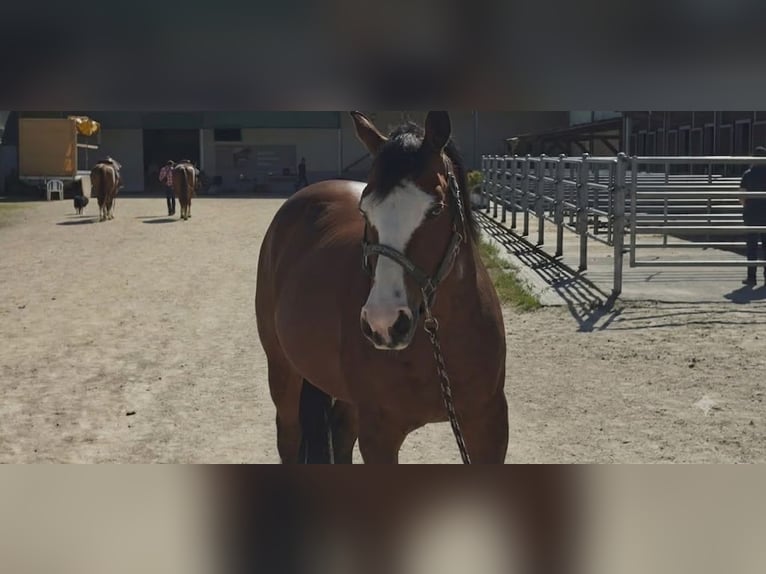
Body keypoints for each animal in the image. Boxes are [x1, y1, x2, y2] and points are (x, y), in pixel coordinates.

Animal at [255, 111, 508, 464]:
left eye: (436, 209)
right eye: (365, 210)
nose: (384, 323)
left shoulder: (489, 425)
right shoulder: (379, 434)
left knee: (341, 433)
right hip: (282, 368)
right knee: (289, 434)